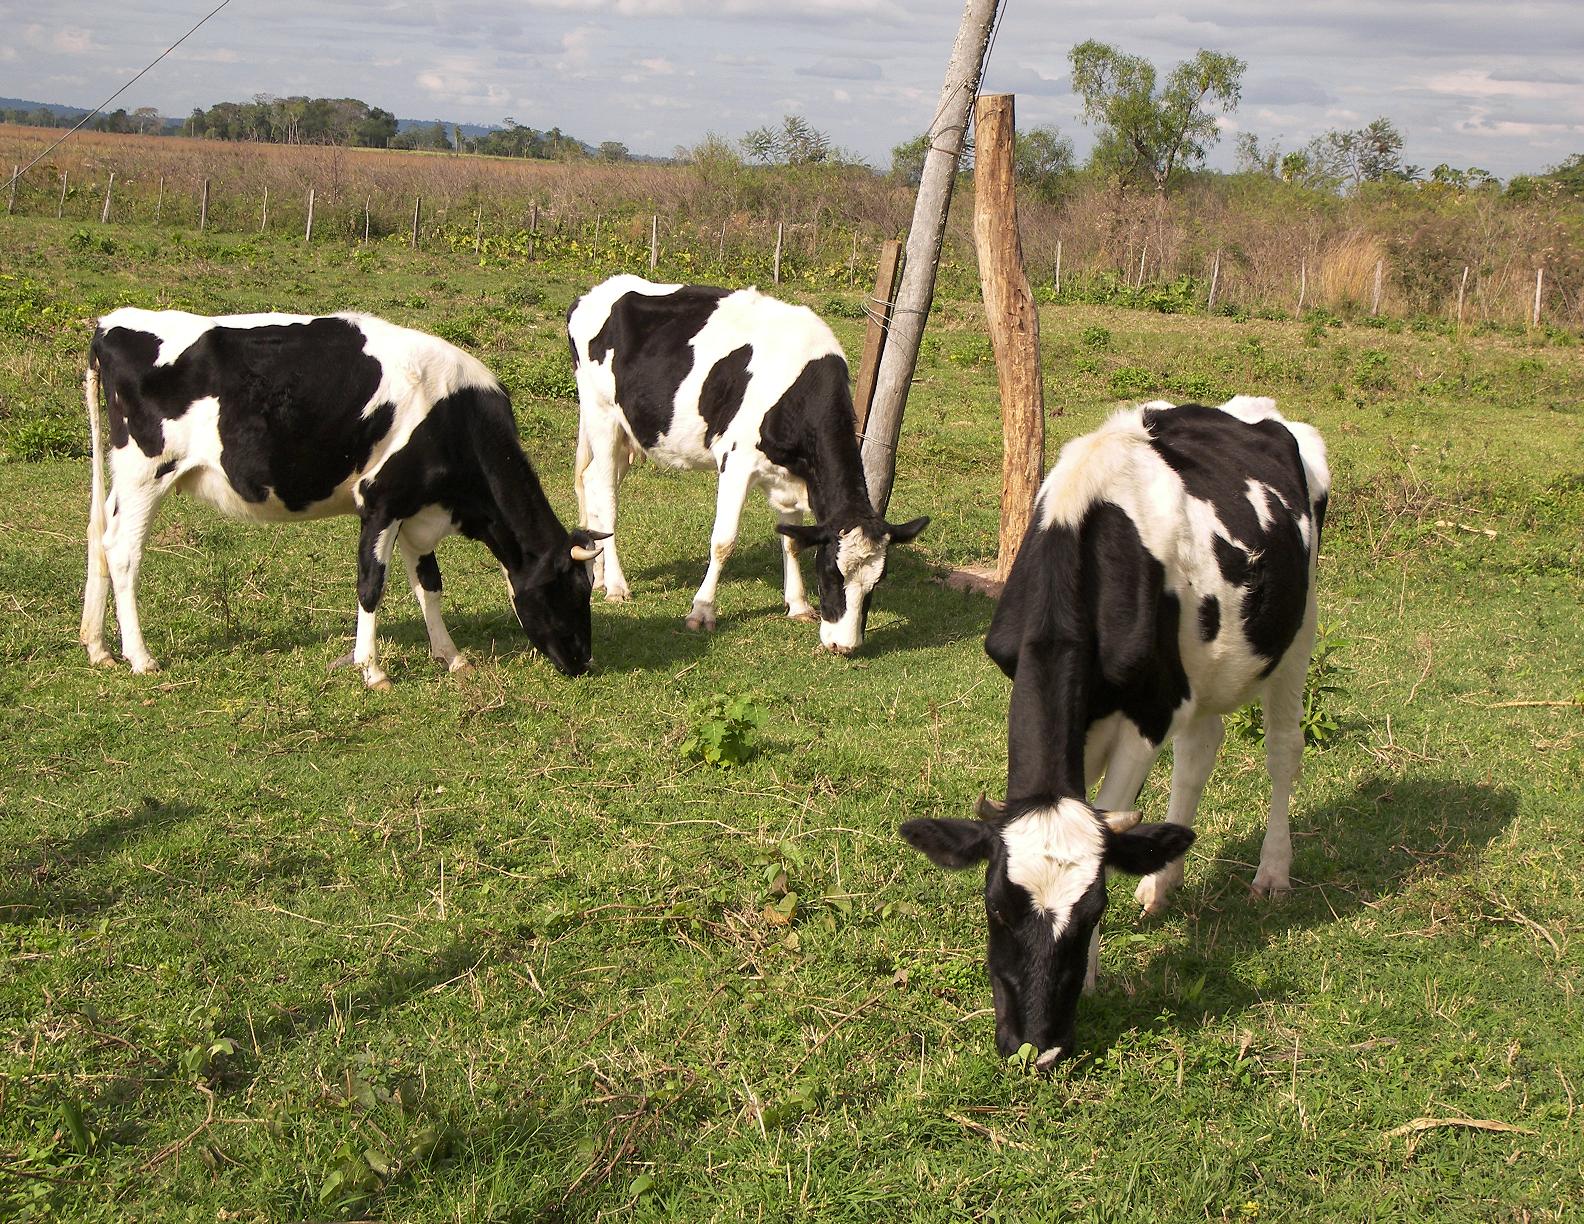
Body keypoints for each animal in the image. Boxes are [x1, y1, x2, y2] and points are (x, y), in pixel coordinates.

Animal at [78, 308, 605, 687]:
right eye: (570, 590)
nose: (582, 661)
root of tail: (111, 325)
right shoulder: (380, 500)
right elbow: (371, 585)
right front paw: (372, 670)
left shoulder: (416, 508)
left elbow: (429, 584)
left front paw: (451, 656)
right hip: (145, 471)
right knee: (122, 552)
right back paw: (140, 657)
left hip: (123, 481)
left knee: (98, 538)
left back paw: (98, 647)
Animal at [567, 273, 925, 655]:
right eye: (831, 572)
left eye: (877, 581)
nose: (844, 646)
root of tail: (597, 291)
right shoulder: (735, 462)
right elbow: (723, 542)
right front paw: (702, 611)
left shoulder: (790, 477)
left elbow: (792, 541)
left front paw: (798, 605)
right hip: (601, 414)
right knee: (606, 494)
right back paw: (617, 585)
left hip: (627, 431)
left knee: (592, 482)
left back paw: (599, 574)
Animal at [906, 399, 1324, 1057]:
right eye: (996, 908)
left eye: (1093, 912)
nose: (1036, 1045)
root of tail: (1256, 412)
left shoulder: (1150, 711)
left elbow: (1114, 806)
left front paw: (1095, 974)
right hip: (1205, 671)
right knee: (1199, 753)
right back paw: (1161, 884)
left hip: (1298, 631)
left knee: (1283, 751)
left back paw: (1272, 873)